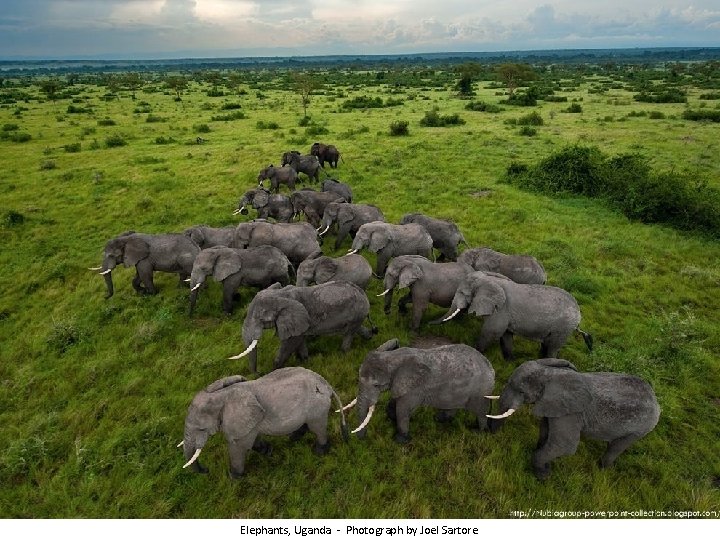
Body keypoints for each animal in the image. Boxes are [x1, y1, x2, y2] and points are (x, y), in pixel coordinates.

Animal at [180, 370, 348, 478]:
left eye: (200, 428)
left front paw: (233, 477)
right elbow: (252, 441)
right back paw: (294, 438)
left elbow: (238, 447)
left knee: (317, 427)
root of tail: (325, 383)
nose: (206, 471)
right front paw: (268, 451)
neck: (221, 395)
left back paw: (319, 451)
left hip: (317, 406)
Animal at [231, 280, 376, 374]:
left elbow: (291, 342)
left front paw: (274, 371)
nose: (259, 373)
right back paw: (370, 336)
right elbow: (299, 340)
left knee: (349, 333)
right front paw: (304, 361)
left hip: (358, 310)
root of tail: (362, 292)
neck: (280, 294)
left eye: (261, 320)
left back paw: (343, 353)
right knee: (354, 329)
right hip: (358, 313)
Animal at [348, 342, 496, 442]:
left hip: (481, 390)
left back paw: (480, 432)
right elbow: (395, 401)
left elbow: (403, 408)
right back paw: (440, 419)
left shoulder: (415, 388)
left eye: (376, 385)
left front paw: (400, 440)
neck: (392, 357)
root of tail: (489, 365)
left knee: (481, 412)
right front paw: (392, 419)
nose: (362, 440)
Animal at [434, 272, 592, 360]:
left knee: (552, 347)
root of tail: (579, 314)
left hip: (564, 327)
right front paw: (509, 361)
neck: (490, 279)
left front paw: (476, 352)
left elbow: (491, 332)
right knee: (546, 344)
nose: (430, 323)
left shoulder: (501, 309)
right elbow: (506, 335)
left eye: (462, 293)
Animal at [486, 360, 660, 478]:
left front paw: (543, 475)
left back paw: (603, 469)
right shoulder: (553, 406)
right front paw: (544, 463)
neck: (551, 374)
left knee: (618, 446)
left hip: (643, 426)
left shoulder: (571, 413)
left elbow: (565, 445)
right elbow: (545, 431)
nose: (491, 433)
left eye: (521, 392)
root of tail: (655, 399)